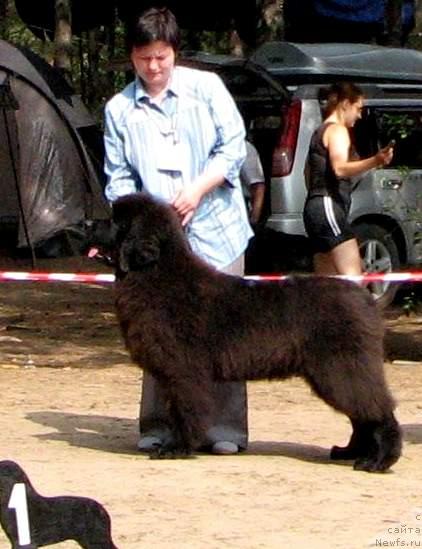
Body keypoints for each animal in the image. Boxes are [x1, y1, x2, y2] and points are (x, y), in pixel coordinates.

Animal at [111, 192, 402, 470]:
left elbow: (184, 411)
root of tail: (364, 297)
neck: (160, 274)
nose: (95, 221)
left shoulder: (183, 372)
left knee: (377, 411)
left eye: (116, 222)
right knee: (362, 415)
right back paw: (351, 452)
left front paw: (176, 448)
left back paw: (378, 461)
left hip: (342, 368)